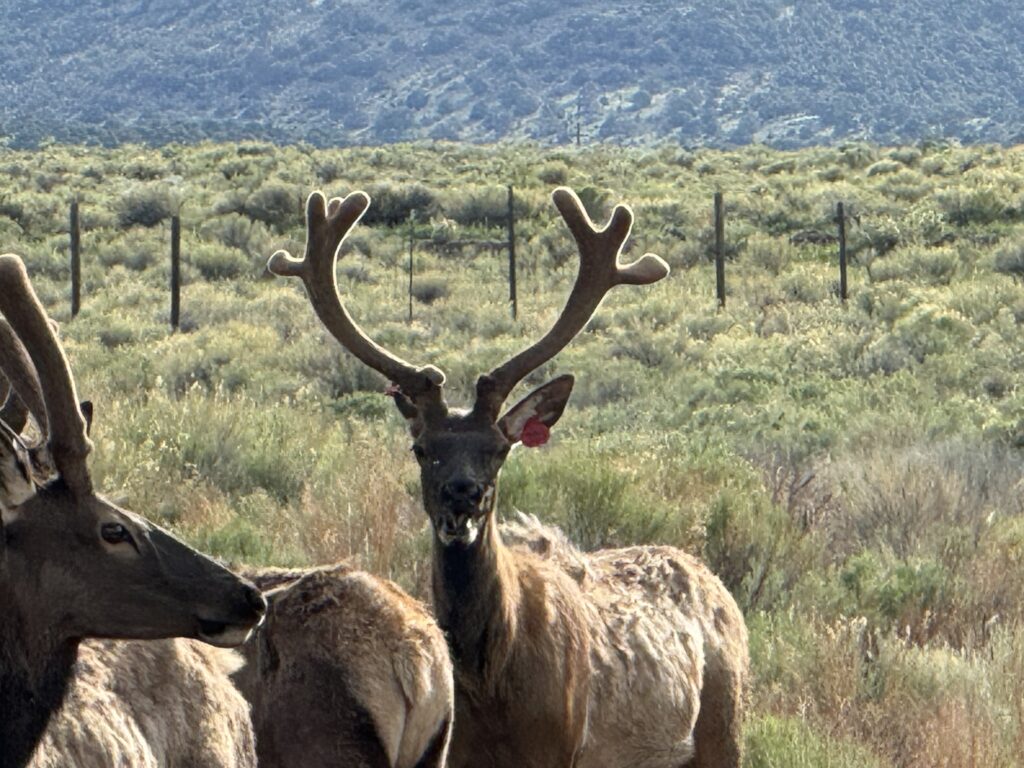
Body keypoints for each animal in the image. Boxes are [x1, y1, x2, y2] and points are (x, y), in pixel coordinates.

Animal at [270, 188, 753, 768]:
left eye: (499, 449)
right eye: (422, 449)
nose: (463, 494)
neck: (492, 689)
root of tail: (717, 586)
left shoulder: (559, 747)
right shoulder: (456, 750)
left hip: (726, 723)